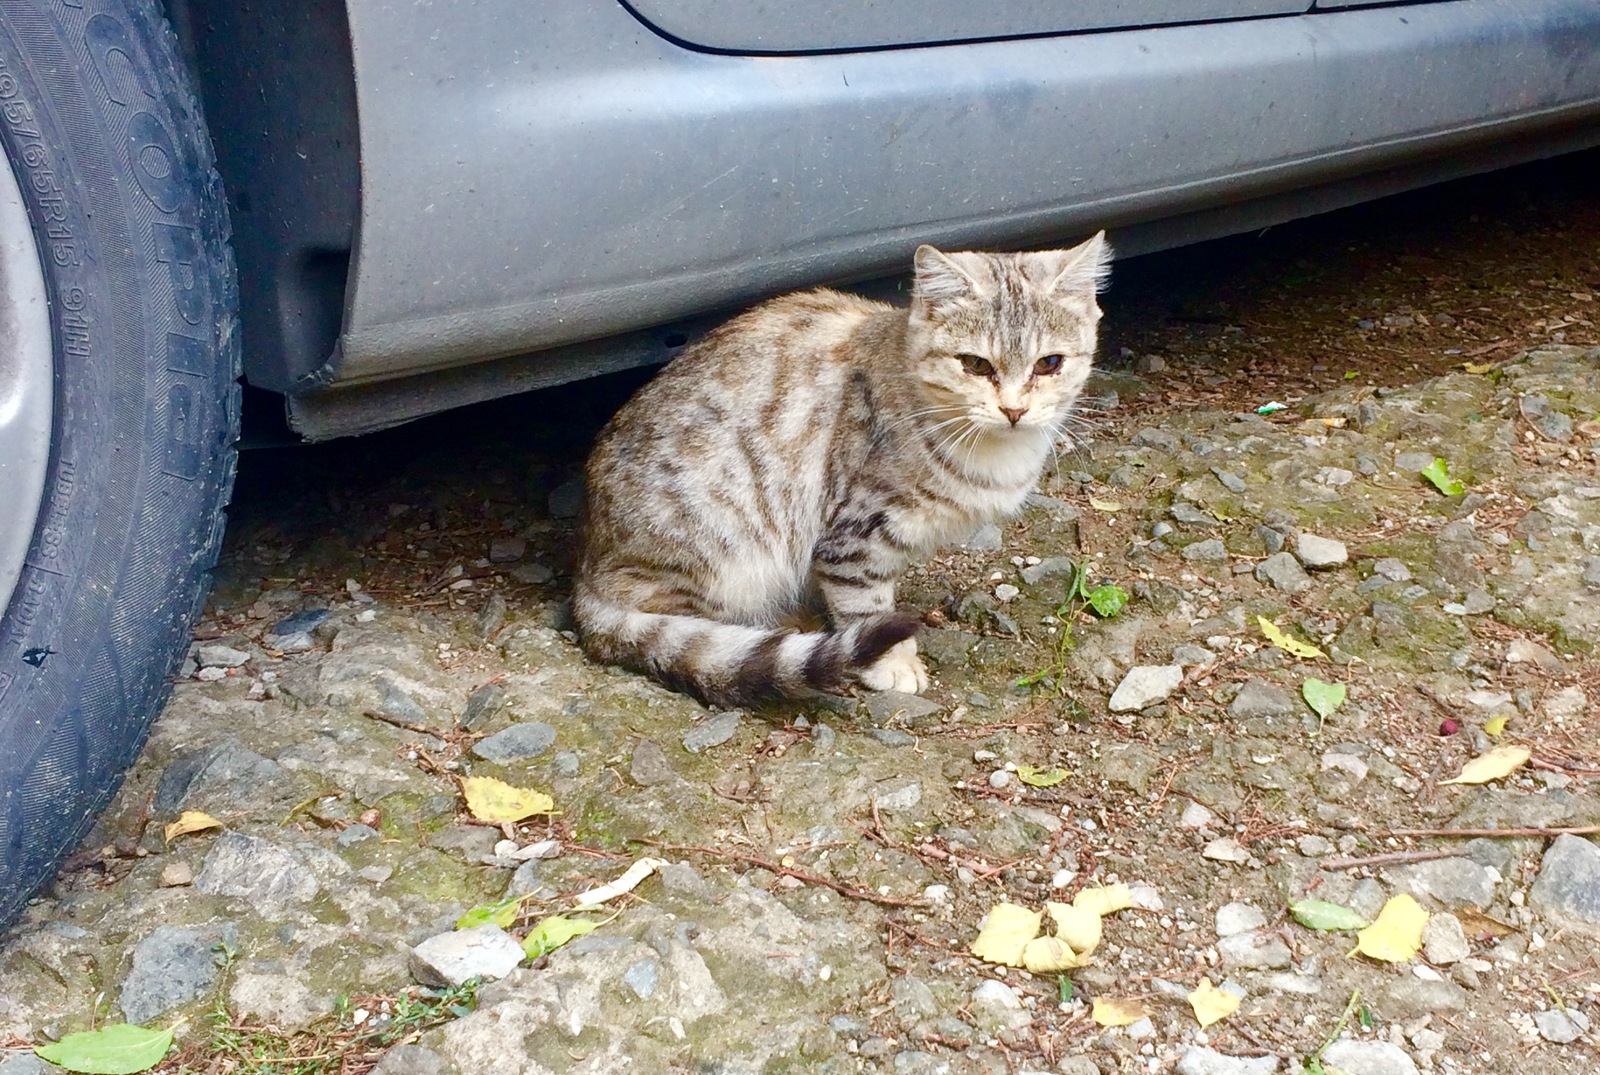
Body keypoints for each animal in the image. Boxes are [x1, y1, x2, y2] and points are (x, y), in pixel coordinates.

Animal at [576, 230, 1113, 710]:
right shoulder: (856, 531)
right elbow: (863, 600)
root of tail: (589, 572)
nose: (1014, 410)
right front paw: (892, 660)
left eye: (1049, 363)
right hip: (723, 538)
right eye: (976, 364)